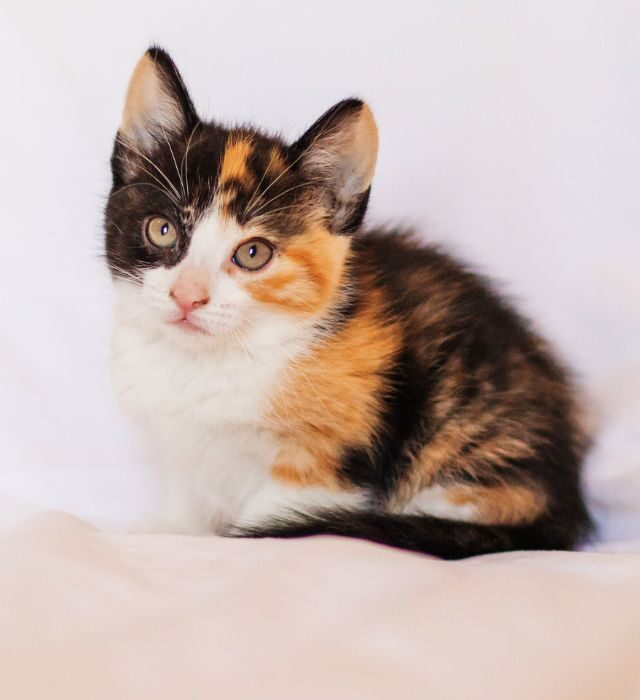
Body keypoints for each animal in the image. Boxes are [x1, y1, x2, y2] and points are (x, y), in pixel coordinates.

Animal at [105, 47, 592, 556]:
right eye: (162, 230)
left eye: (253, 253)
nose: (187, 295)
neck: (211, 359)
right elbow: (187, 490)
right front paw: (170, 530)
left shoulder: (332, 452)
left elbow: (274, 516)